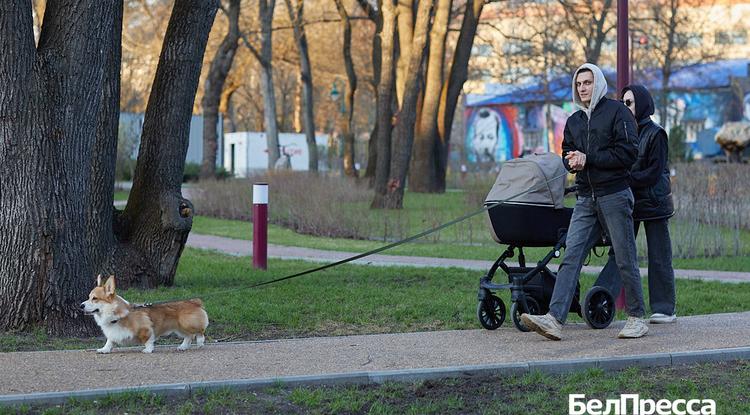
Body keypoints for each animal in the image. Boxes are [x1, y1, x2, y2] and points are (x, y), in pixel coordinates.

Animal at [80, 275, 209, 354]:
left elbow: (148, 339)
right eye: (89, 297)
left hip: (186, 323)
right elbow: (109, 341)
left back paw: (200, 342)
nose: (81, 305)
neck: (117, 316)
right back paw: (183, 347)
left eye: (94, 298)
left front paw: (148, 350)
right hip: (179, 327)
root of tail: (195, 301)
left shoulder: (146, 329)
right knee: (189, 336)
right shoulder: (112, 334)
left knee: (199, 332)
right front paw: (104, 349)